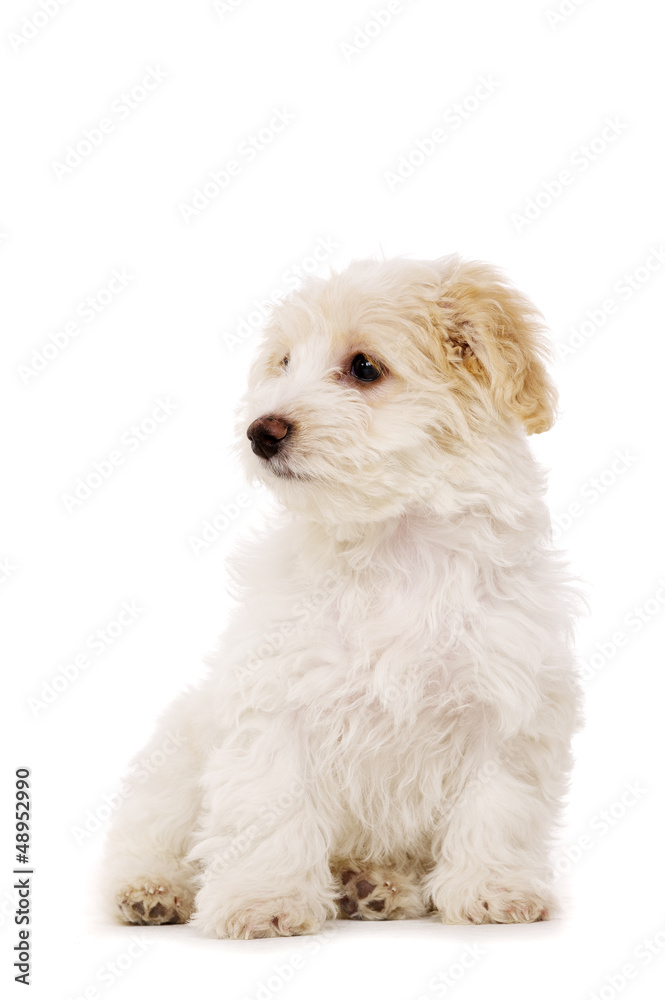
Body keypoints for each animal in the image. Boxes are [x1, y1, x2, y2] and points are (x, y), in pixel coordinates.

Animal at [100, 252, 580, 936]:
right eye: (283, 363)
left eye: (364, 368)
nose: (260, 431)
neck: (393, 548)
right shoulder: (276, 702)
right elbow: (270, 808)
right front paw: (264, 899)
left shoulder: (506, 706)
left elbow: (497, 805)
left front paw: (492, 889)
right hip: (176, 761)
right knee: (148, 836)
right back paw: (150, 890)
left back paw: (373, 885)